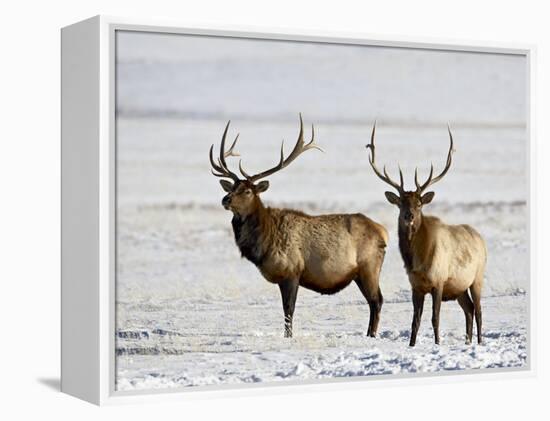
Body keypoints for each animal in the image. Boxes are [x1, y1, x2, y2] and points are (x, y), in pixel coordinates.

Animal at [210, 115, 388, 338]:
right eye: (232, 187)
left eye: (248, 191)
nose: (225, 199)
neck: (263, 244)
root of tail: (383, 231)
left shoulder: (292, 271)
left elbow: (289, 310)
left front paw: (289, 337)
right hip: (360, 273)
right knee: (374, 301)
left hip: (369, 267)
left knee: (377, 300)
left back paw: (371, 335)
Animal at [366, 123, 488, 346]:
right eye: (401, 203)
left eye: (419, 203)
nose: (409, 215)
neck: (419, 260)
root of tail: (480, 238)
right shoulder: (416, 286)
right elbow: (415, 320)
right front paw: (412, 344)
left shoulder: (438, 281)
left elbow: (435, 317)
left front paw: (437, 343)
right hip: (459, 287)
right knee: (469, 309)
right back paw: (467, 341)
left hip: (477, 277)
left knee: (479, 311)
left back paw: (479, 342)